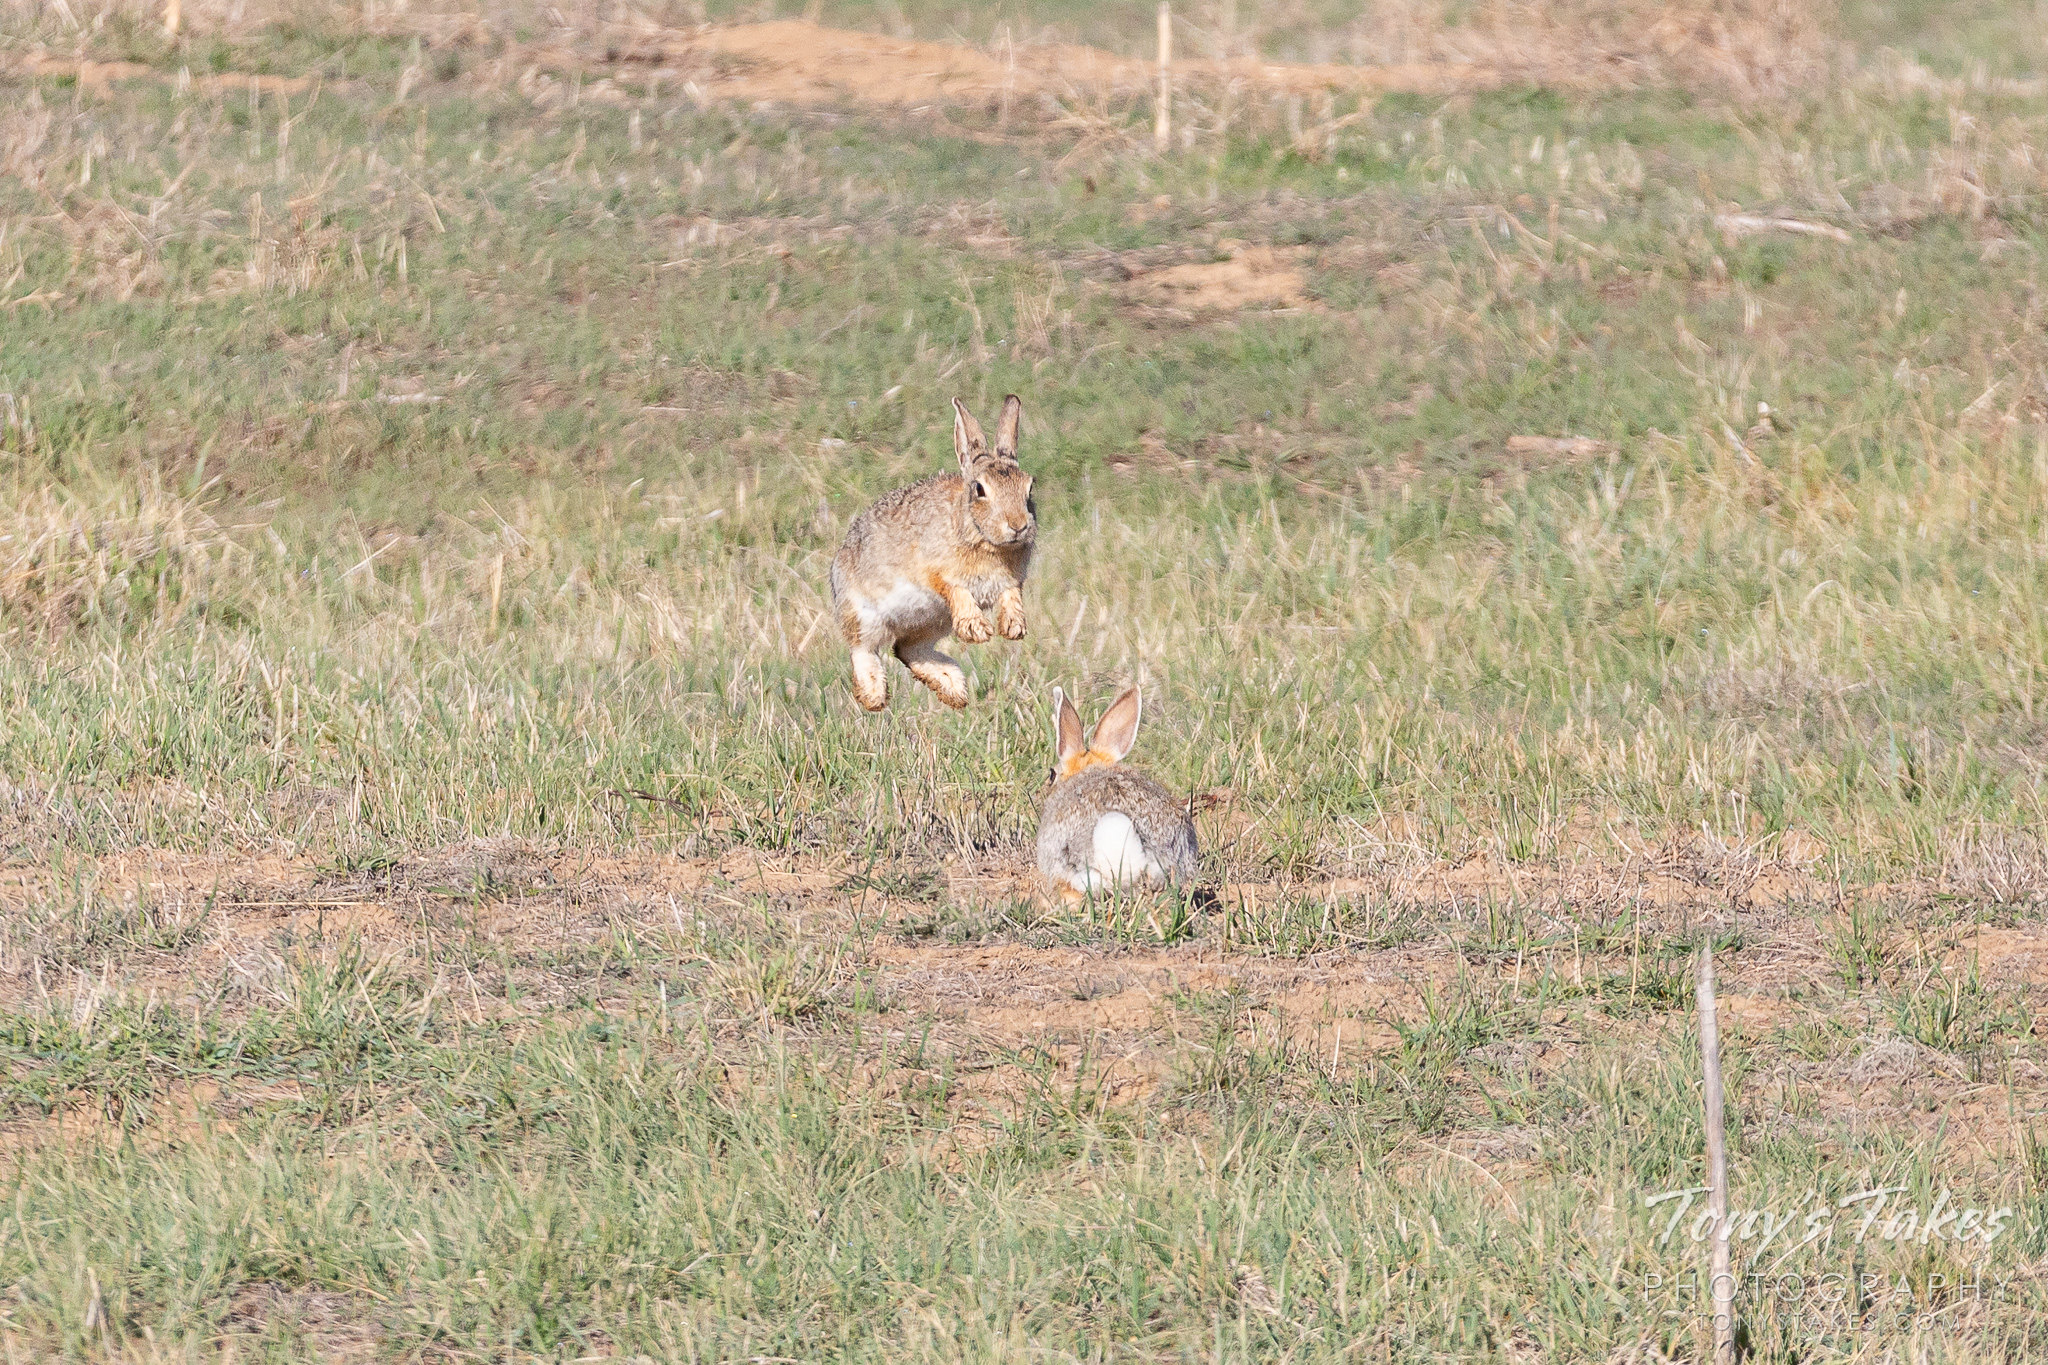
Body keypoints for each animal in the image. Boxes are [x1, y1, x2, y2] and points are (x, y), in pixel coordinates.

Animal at [828, 394, 1036, 711]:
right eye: (980, 489)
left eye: (1030, 487)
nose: (1018, 526)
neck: (981, 537)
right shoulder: (938, 573)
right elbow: (955, 590)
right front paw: (977, 630)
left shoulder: (1010, 582)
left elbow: (1011, 596)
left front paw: (1013, 628)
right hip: (864, 612)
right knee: (863, 648)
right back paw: (874, 696)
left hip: (931, 624)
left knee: (905, 649)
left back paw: (953, 689)